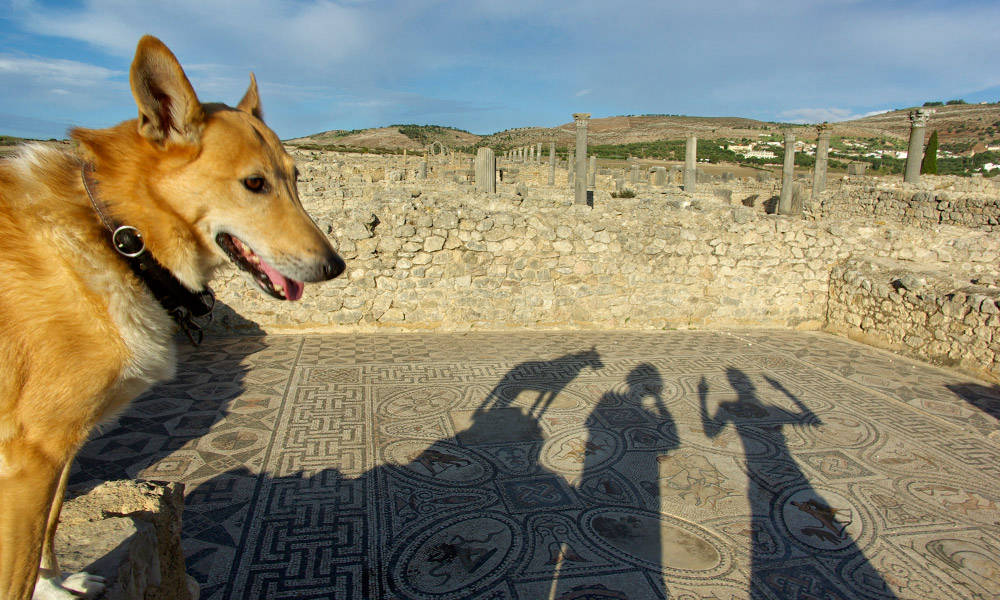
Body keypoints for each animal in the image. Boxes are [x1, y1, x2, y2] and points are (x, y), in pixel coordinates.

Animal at [0, 35, 346, 596]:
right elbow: (21, 563)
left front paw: (52, 582)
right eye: (255, 184)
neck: (119, 233)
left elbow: (47, 530)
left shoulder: (54, 445)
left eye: (296, 179)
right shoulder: (32, 451)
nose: (336, 266)